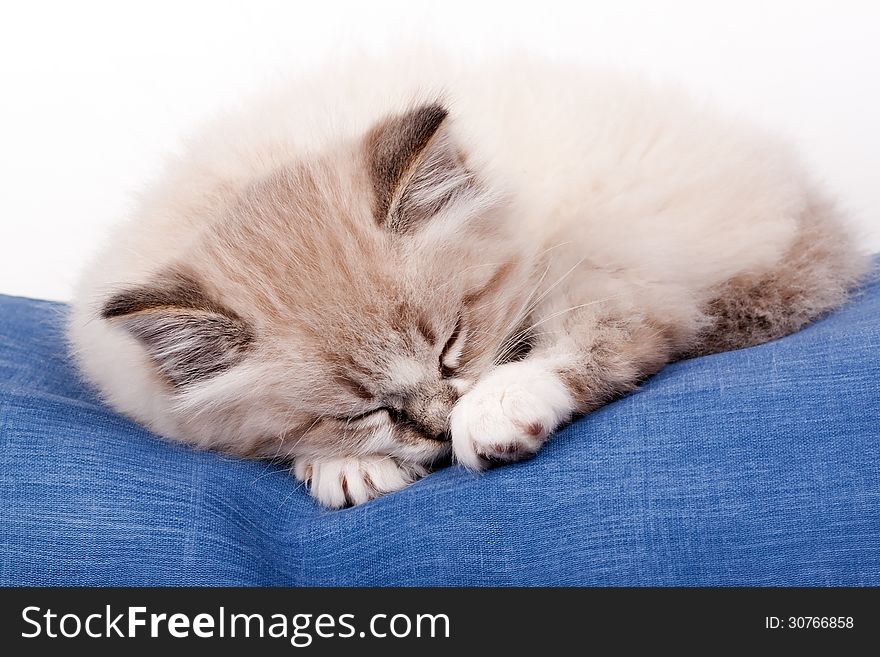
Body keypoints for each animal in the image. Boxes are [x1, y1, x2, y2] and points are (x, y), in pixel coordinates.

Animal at [67, 55, 868, 508]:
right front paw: (348, 467)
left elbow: (587, 342)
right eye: (360, 410)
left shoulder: (597, 255)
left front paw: (488, 412)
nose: (435, 426)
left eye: (452, 343)